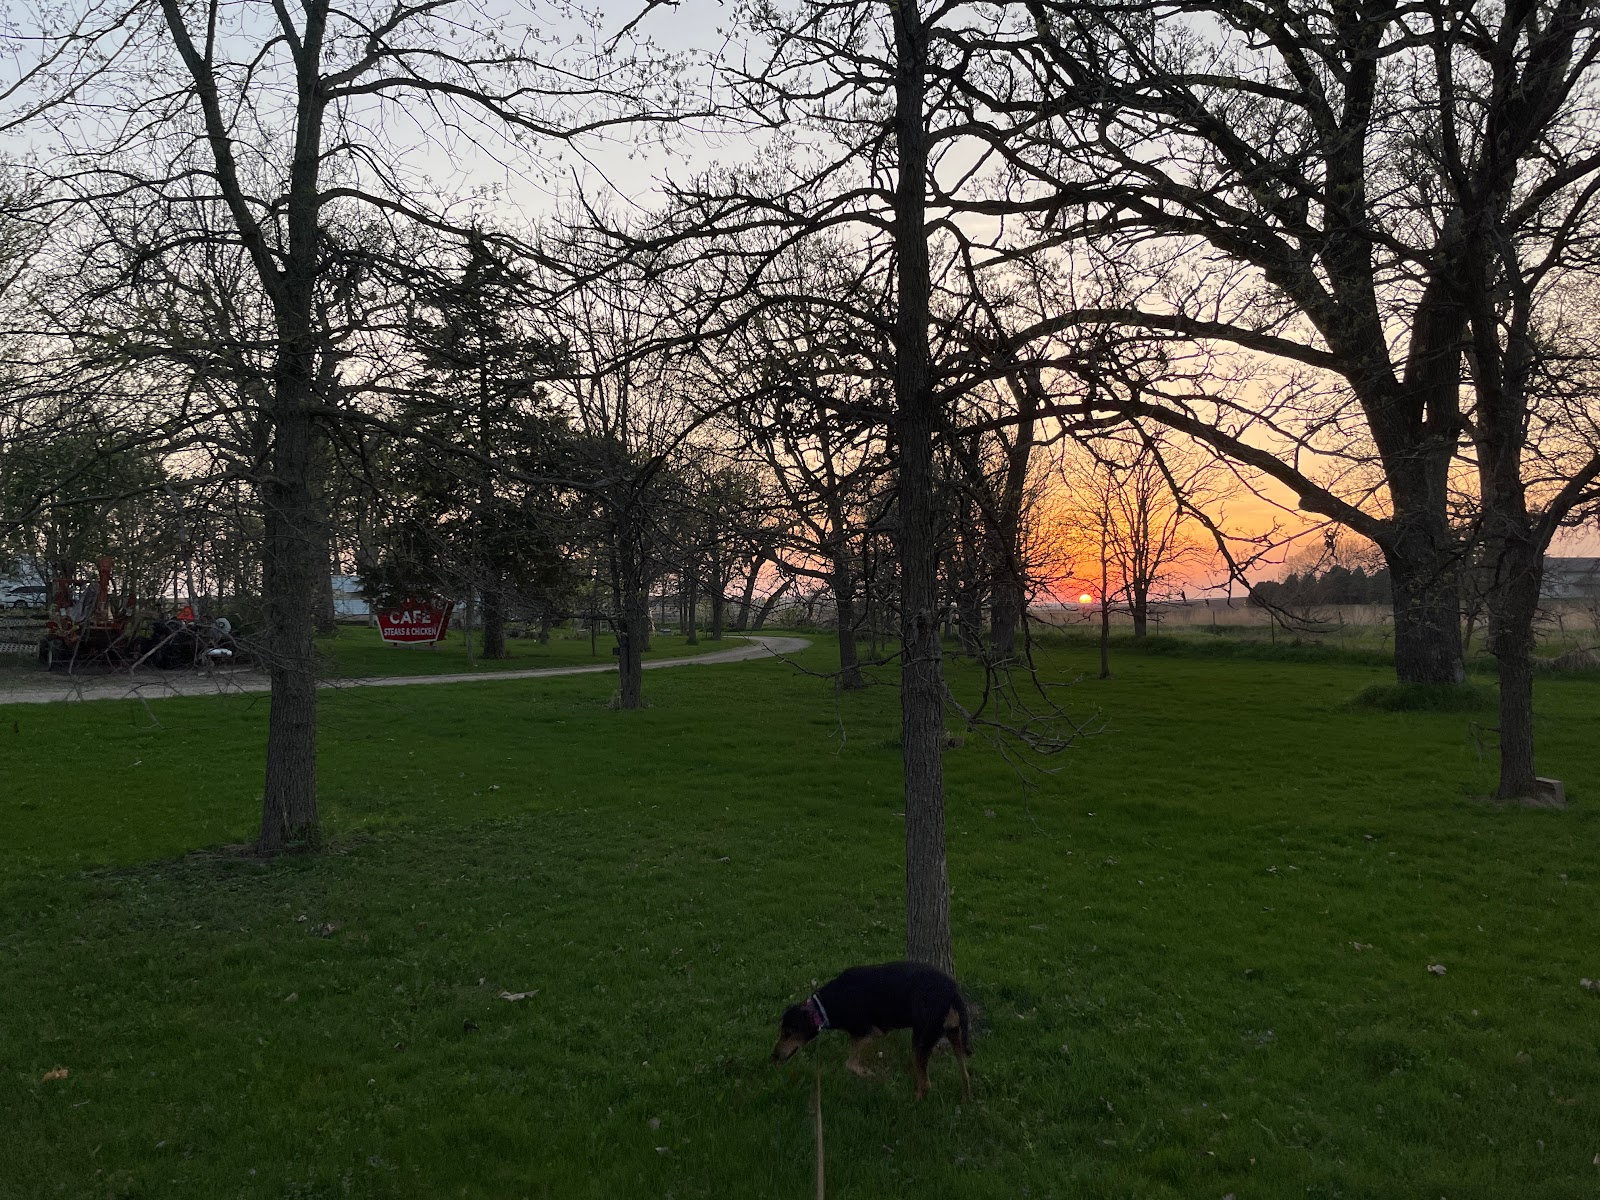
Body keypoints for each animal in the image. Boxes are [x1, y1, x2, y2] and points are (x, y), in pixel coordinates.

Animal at [771, 961, 973, 1099]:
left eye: (788, 1033)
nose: (774, 1056)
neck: (822, 1009)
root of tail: (953, 993)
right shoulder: (862, 1036)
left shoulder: (870, 1032)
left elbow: (851, 1064)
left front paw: (868, 1073)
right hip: (954, 1034)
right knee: (965, 1075)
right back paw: (965, 1101)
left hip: (921, 1041)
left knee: (926, 1085)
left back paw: (912, 1104)